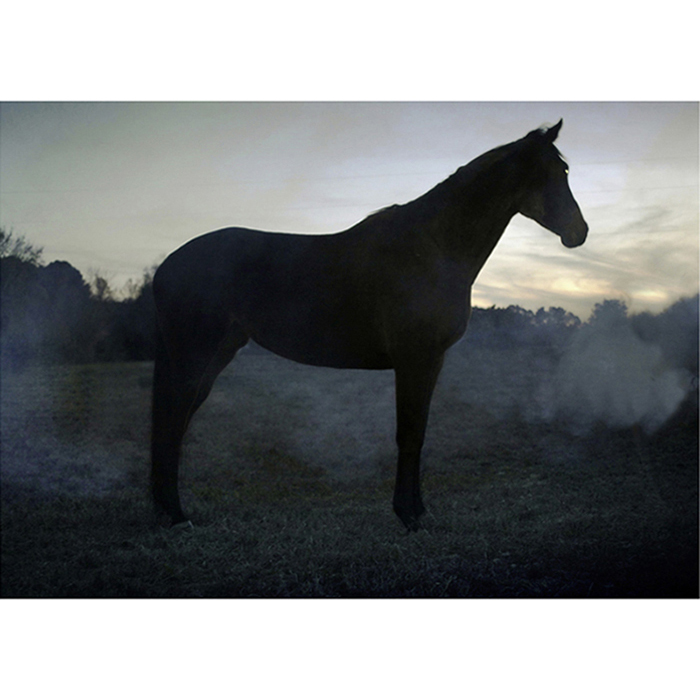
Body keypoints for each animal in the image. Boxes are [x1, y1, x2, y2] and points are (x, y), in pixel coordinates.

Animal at [150, 119, 588, 531]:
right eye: (550, 173)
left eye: (564, 170)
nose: (578, 232)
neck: (434, 247)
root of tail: (167, 265)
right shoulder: (415, 359)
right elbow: (409, 433)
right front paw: (409, 515)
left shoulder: (431, 361)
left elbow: (418, 433)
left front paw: (418, 511)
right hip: (196, 356)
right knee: (173, 422)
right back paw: (177, 515)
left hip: (215, 354)